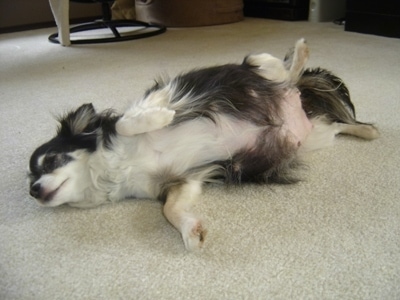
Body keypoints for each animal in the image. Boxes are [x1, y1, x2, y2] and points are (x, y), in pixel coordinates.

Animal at [28, 39, 378, 251]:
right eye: (30, 181)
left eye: (50, 161)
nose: (34, 191)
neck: (116, 169)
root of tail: (293, 101)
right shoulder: (181, 182)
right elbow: (171, 210)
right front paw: (191, 232)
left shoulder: (163, 97)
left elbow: (129, 121)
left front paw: (159, 117)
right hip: (309, 140)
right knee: (336, 124)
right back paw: (368, 131)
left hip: (255, 65)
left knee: (285, 70)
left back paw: (300, 51)